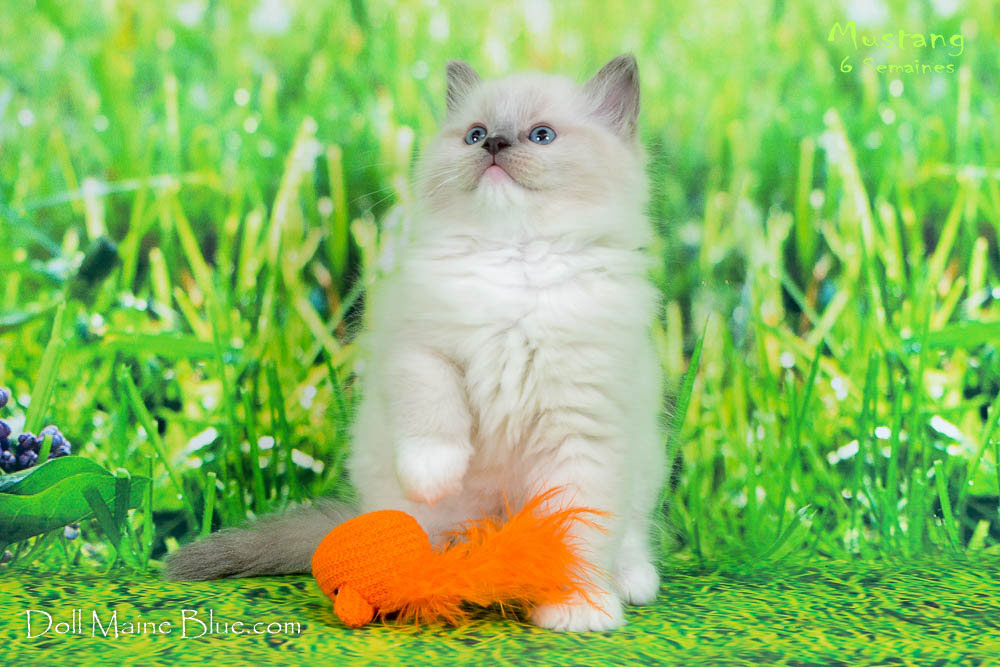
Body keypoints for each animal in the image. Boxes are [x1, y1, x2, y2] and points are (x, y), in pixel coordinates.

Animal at [166, 54, 666, 632]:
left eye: (542, 135)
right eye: (475, 135)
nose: (495, 144)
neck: (515, 259)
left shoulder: (581, 430)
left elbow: (576, 530)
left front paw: (576, 609)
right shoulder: (417, 349)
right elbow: (434, 415)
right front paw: (434, 475)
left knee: (628, 535)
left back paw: (629, 579)